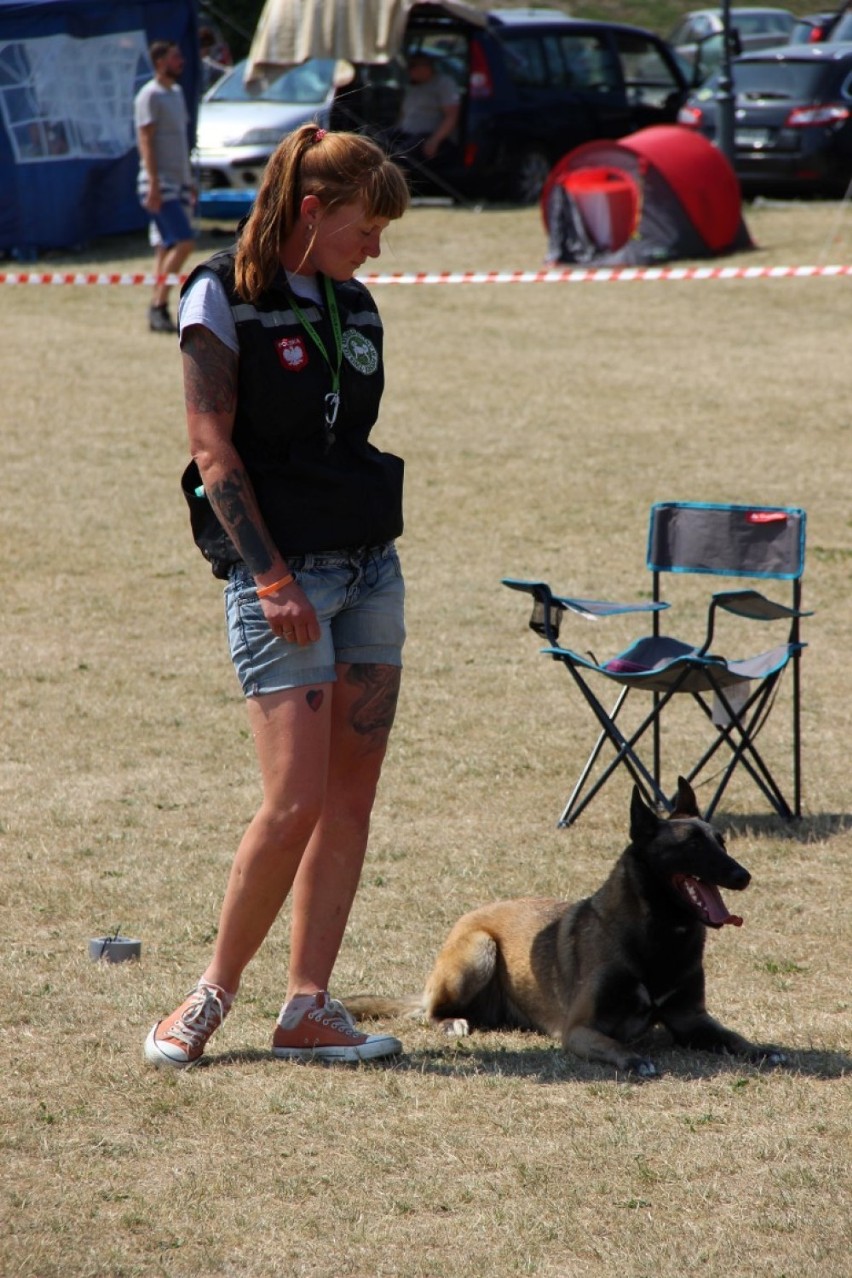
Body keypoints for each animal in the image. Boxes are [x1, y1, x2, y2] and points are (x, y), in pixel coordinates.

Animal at [347, 777, 786, 1078]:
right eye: (692, 845)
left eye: (722, 841)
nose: (743, 876)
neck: (657, 937)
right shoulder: (580, 1029)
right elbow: (613, 1044)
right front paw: (635, 1060)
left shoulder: (692, 1019)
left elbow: (733, 1037)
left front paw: (761, 1048)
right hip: (479, 950)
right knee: (431, 1012)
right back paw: (451, 1021)